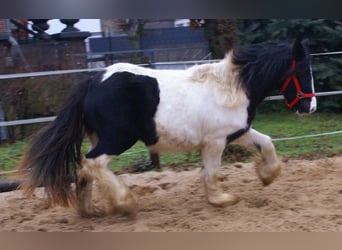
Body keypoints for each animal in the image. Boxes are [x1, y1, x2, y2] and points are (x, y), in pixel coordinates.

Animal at [19, 39, 316, 217]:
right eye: (303, 71)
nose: (310, 108)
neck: (231, 88)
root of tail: (93, 81)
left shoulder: (237, 133)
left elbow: (266, 142)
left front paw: (267, 176)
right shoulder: (215, 141)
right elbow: (211, 173)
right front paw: (221, 199)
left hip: (99, 138)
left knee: (85, 171)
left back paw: (89, 211)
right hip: (118, 139)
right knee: (92, 163)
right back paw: (124, 202)